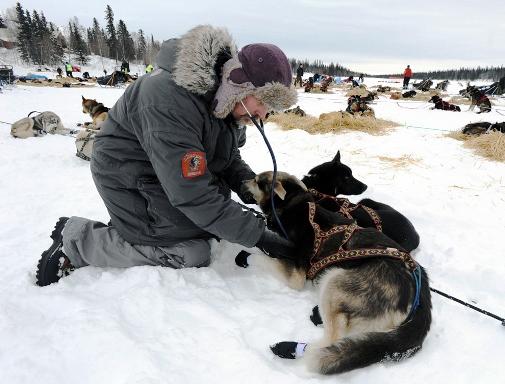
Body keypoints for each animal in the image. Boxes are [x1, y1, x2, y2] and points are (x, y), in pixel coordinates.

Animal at [238, 172, 432, 376]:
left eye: (257, 181)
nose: (242, 181)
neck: (291, 205)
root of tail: (421, 295)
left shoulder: (296, 275)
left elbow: (262, 256)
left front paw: (246, 256)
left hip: (334, 280)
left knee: (330, 342)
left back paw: (289, 348)